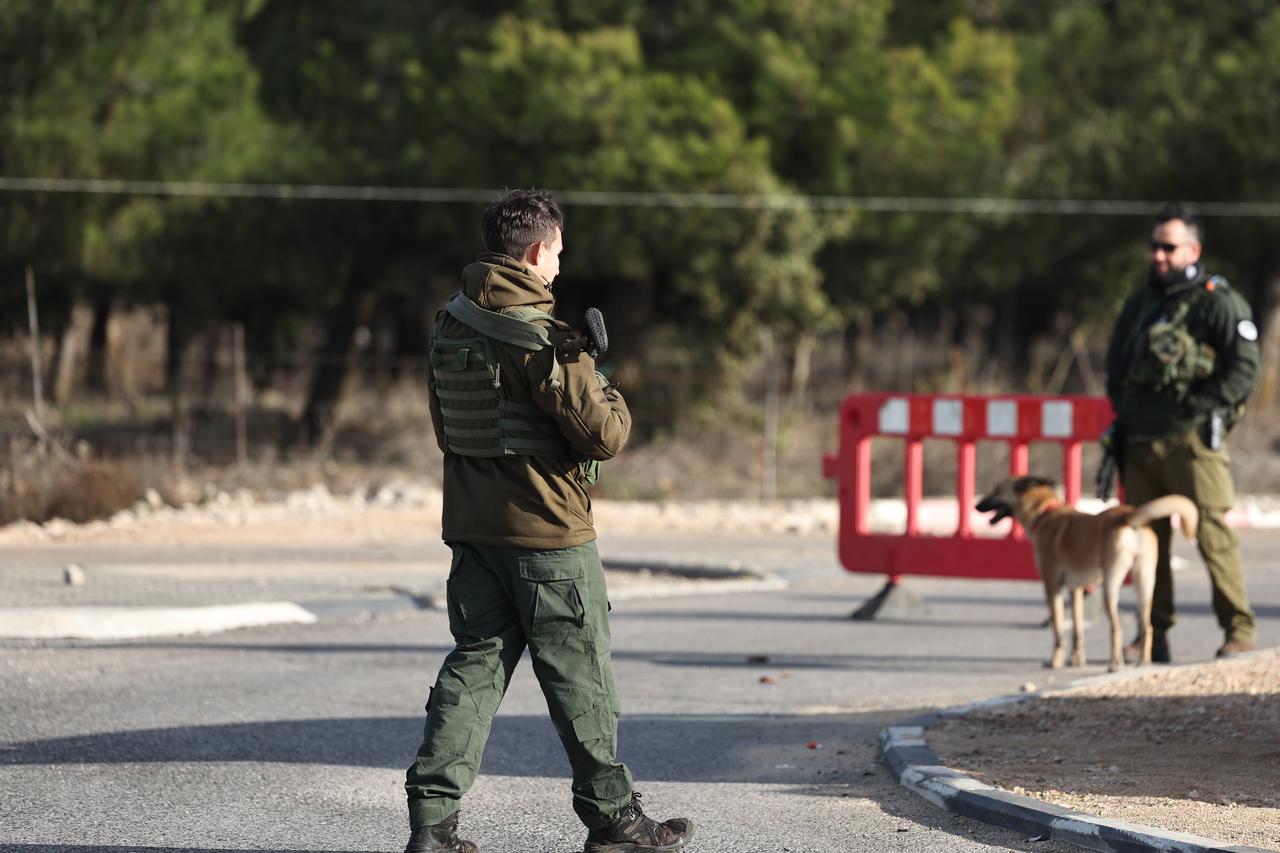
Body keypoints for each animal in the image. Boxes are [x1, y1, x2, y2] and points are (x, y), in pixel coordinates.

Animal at [977, 473, 1198, 666]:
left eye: (997, 490)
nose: (976, 506)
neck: (1046, 512)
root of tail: (1128, 516)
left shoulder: (1052, 586)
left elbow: (1058, 628)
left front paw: (1055, 661)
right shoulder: (1076, 589)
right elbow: (1078, 630)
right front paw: (1076, 660)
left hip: (1110, 584)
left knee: (1116, 628)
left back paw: (1115, 665)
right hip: (1144, 582)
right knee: (1147, 626)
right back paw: (1143, 663)